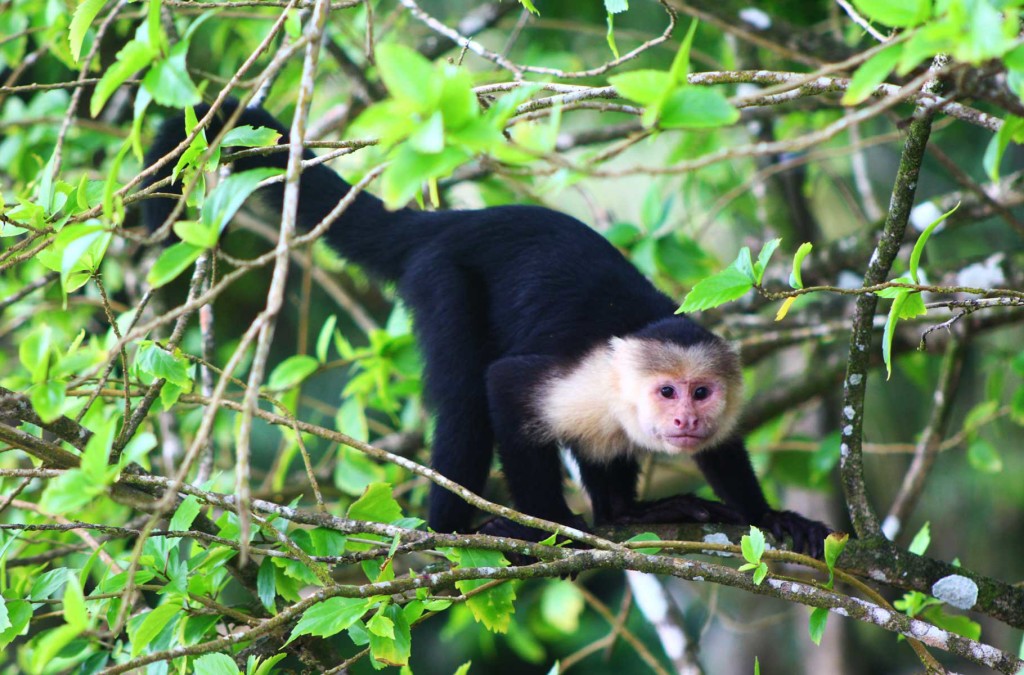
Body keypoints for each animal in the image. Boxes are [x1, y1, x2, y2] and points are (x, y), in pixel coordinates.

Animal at [142, 98, 831, 553]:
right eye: (667, 392)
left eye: (701, 393)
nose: (685, 419)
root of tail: (444, 222)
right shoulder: (581, 381)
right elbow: (505, 386)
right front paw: (558, 527)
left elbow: (722, 449)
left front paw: (768, 516)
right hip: (441, 275)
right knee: (466, 396)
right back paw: (456, 527)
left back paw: (628, 513)